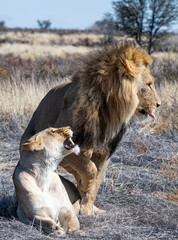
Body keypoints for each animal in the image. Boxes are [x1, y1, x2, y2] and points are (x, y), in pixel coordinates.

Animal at [20, 41, 161, 216]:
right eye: (149, 85)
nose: (159, 104)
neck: (110, 112)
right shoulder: (68, 148)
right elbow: (90, 169)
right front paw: (83, 188)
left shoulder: (104, 154)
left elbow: (97, 178)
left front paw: (87, 208)